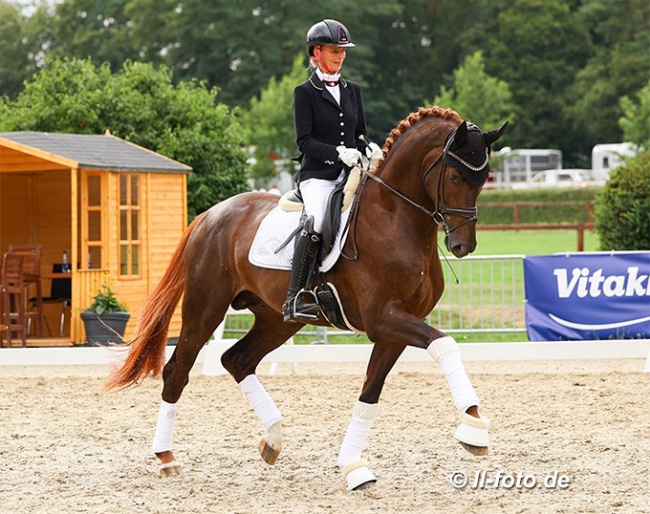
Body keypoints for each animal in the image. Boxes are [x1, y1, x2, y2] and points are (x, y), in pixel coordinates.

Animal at [105, 105, 506, 488]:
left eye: (484, 178)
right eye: (454, 177)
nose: (462, 245)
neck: (396, 218)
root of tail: (208, 216)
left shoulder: (395, 329)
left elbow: (370, 394)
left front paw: (354, 467)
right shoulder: (383, 320)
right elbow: (444, 344)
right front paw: (474, 428)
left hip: (277, 318)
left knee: (237, 360)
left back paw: (272, 439)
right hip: (206, 308)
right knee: (178, 370)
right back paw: (166, 458)